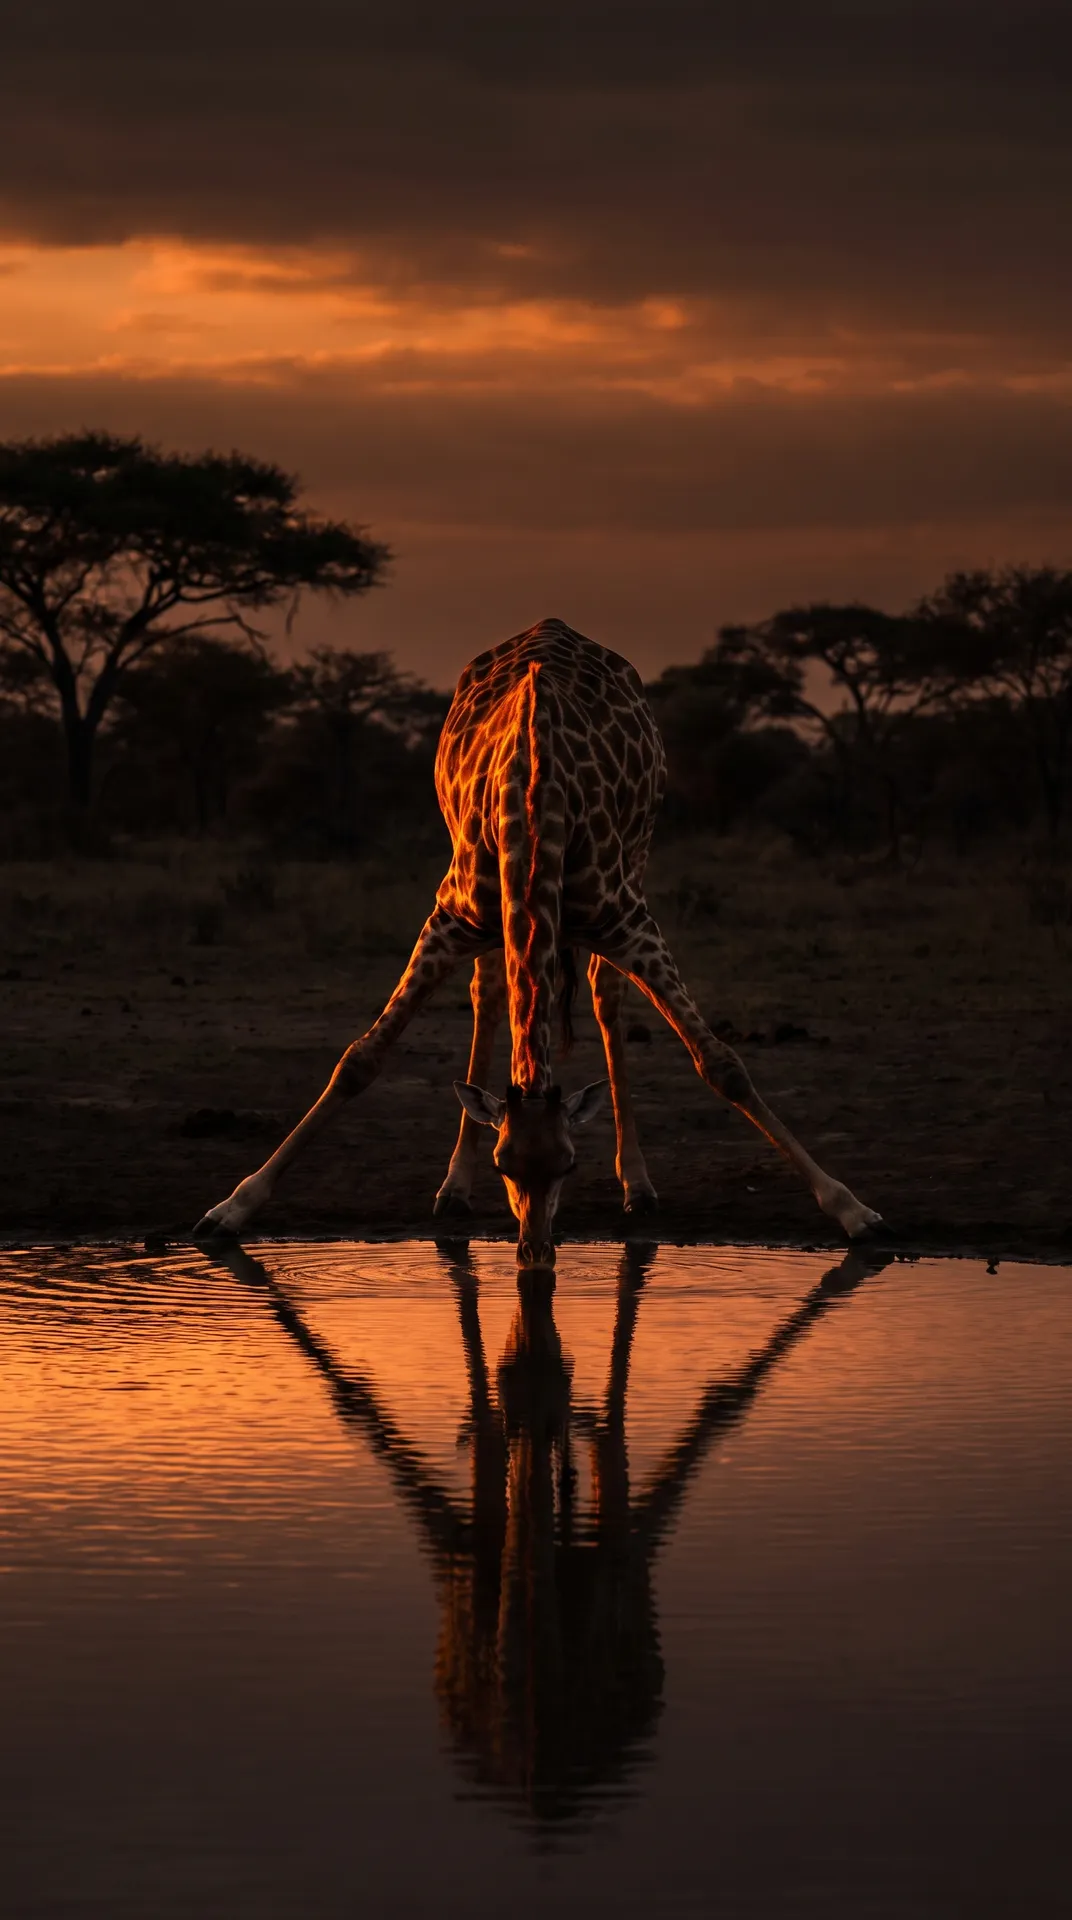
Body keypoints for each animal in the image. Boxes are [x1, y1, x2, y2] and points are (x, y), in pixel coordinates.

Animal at [193, 619, 882, 1260]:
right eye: (506, 1164)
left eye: (569, 1164)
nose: (534, 1254)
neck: (535, 797)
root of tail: (552, 626)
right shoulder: (451, 916)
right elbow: (360, 1059)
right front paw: (231, 1208)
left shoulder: (628, 920)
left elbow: (723, 1065)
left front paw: (853, 1210)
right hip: (489, 915)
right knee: (490, 993)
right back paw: (453, 1189)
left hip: (635, 863)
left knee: (606, 998)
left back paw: (638, 1186)